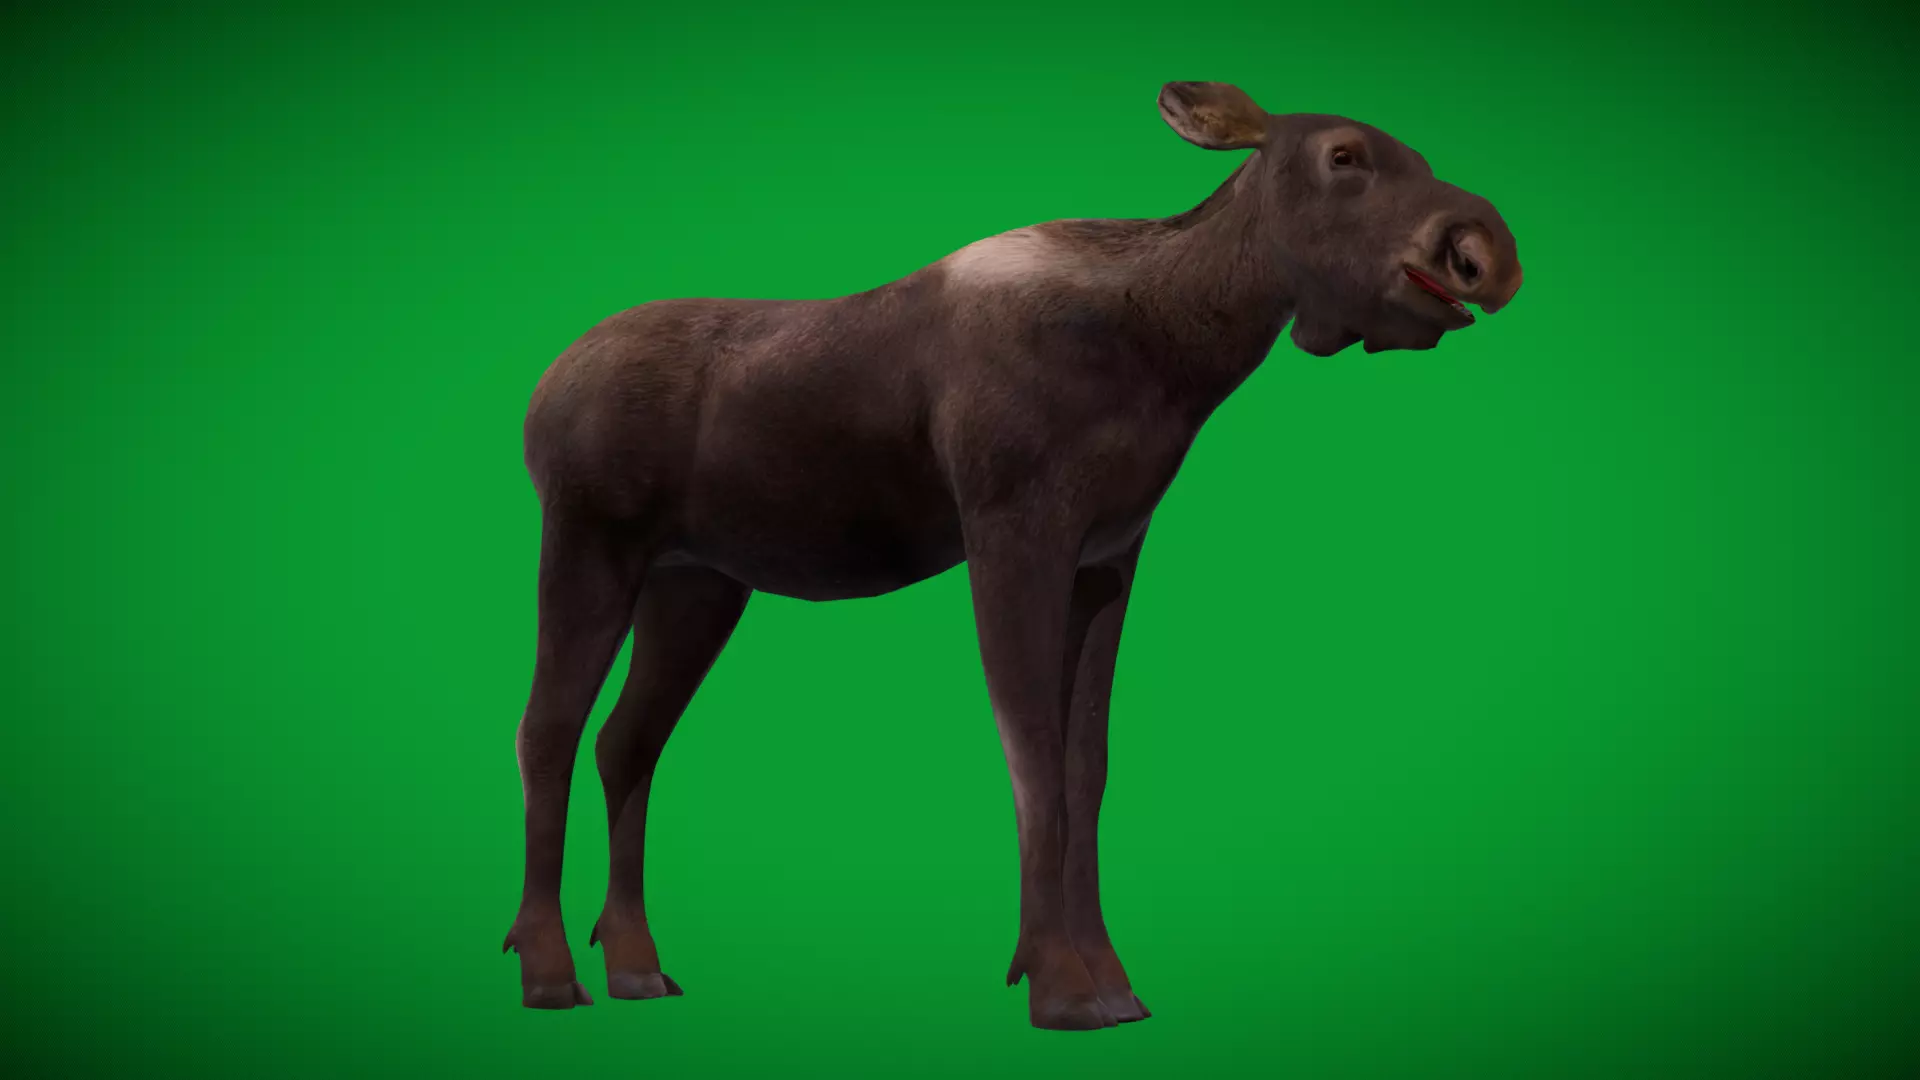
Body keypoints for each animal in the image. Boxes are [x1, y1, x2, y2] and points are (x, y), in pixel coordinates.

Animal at [501, 80, 1524, 1031]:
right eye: (1344, 155)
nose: (1483, 251)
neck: (1173, 359)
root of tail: (539, 396)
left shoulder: (1108, 556)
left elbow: (1088, 767)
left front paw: (1111, 979)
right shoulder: (1013, 531)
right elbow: (1032, 759)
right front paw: (1060, 984)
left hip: (699, 585)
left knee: (626, 741)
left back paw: (636, 964)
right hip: (589, 541)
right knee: (546, 731)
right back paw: (550, 971)